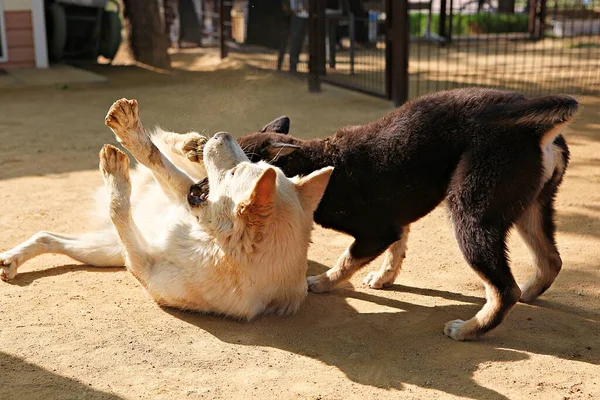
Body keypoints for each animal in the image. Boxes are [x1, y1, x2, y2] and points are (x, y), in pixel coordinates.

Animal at [1, 99, 332, 318]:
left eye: (237, 172)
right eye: (257, 163)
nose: (223, 134)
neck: (210, 244)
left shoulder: (141, 266)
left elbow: (118, 208)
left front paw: (115, 171)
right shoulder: (188, 194)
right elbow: (155, 157)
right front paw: (134, 137)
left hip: (104, 252)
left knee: (50, 237)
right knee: (167, 151)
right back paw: (185, 142)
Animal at [238, 88, 576, 340]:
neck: (320, 163)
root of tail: (534, 128)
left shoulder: (376, 233)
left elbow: (346, 259)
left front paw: (323, 281)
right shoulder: (397, 224)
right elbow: (396, 252)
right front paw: (384, 278)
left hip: (471, 216)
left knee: (505, 289)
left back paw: (468, 329)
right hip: (531, 210)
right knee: (550, 261)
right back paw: (529, 293)